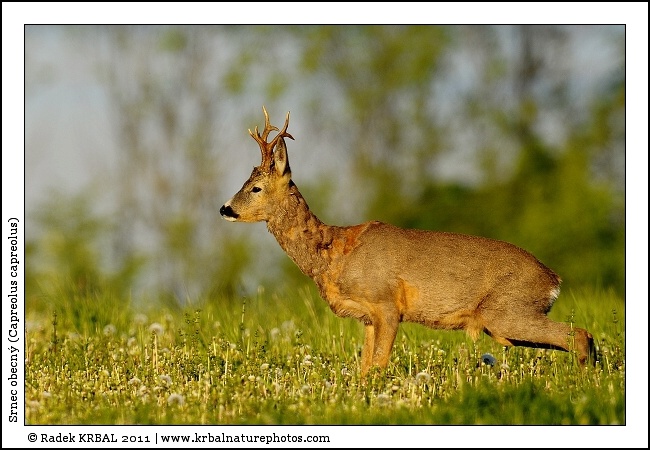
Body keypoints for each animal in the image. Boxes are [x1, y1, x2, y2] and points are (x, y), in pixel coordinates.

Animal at [220, 107, 595, 376]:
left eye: (256, 188)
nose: (225, 208)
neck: (334, 254)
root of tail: (553, 279)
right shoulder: (367, 317)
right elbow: (364, 368)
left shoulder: (387, 305)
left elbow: (378, 366)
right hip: (509, 322)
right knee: (582, 337)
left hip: (507, 310)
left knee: (578, 335)